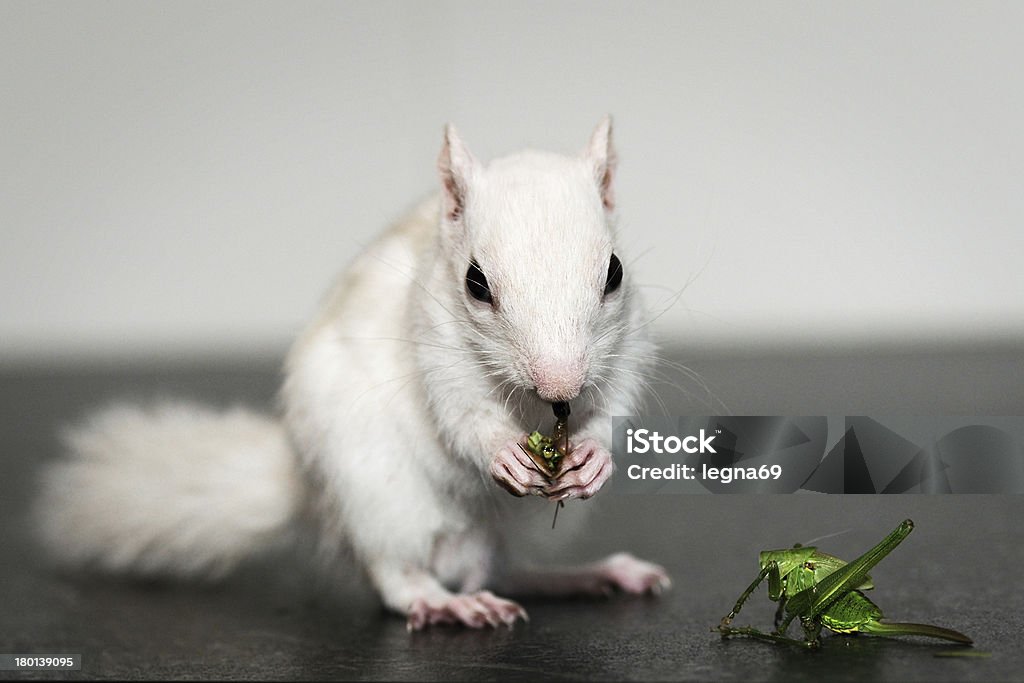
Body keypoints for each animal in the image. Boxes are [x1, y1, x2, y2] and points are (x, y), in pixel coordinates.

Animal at [32, 117, 667, 630]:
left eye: (614, 272)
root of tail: (310, 489)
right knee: (399, 579)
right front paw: (503, 452)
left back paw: (592, 575)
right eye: (475, 283)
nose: (561, 388)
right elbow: (460, 419)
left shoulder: (625, 349)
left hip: (498, 530)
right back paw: (450, 603)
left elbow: (610, 408)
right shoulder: (433, 350)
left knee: (504, 571)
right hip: (378, 499)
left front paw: (593, 457)